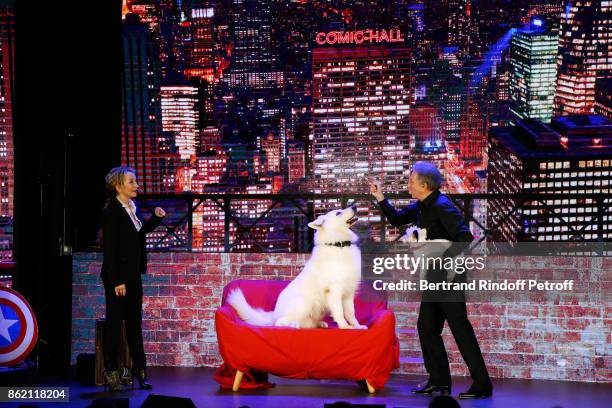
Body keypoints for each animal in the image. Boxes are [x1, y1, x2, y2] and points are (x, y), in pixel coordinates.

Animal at [227, 206, 366, 330]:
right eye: (338, 213)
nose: (355, 206)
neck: (338, 244)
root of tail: (275, 313)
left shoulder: (348, 293)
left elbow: (351, 313)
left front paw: (357, 326)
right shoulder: (334, 291)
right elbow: (340, 312)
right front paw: (345, 327)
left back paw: (319, 324)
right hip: (303, 304)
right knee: (278, 322)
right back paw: (293, 325)